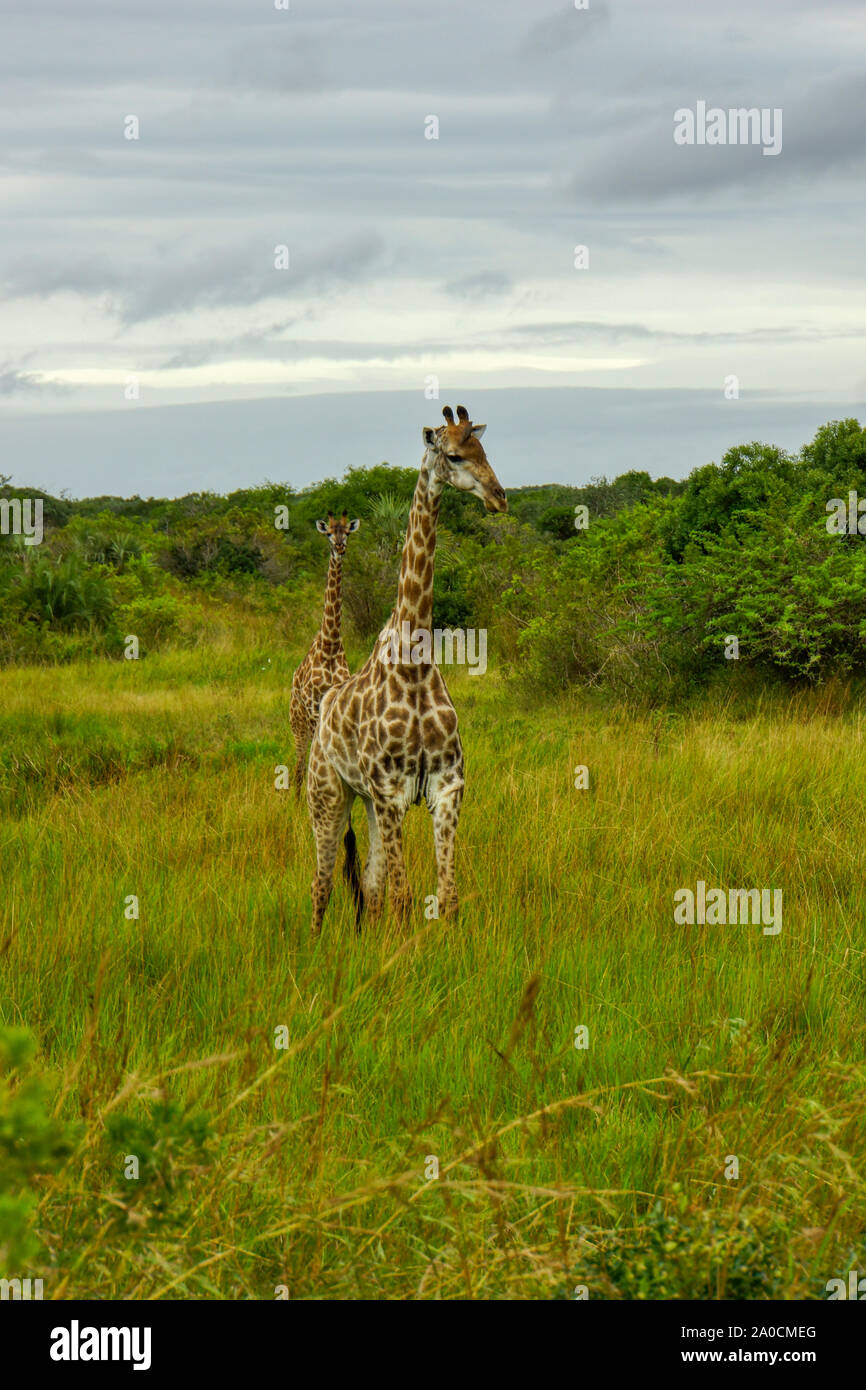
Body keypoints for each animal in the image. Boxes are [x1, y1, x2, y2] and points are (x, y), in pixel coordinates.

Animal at [289, 511, 361, 795]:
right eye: (329, 533)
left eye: (347, 532)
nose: (340, 547)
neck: (329, 646)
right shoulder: (312, 708)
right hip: (297, 722)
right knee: (298, 765)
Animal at [307, 405, 508, 939]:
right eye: (453, 454)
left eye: (485, 450)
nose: (499, 497)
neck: (413, 667)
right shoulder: (391, 792)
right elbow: (403, 897)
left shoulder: (446, 788)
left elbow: (447, 897)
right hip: (328, 794)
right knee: (321, 883)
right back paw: (313, 946)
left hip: (367, 803)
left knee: (368, 884)